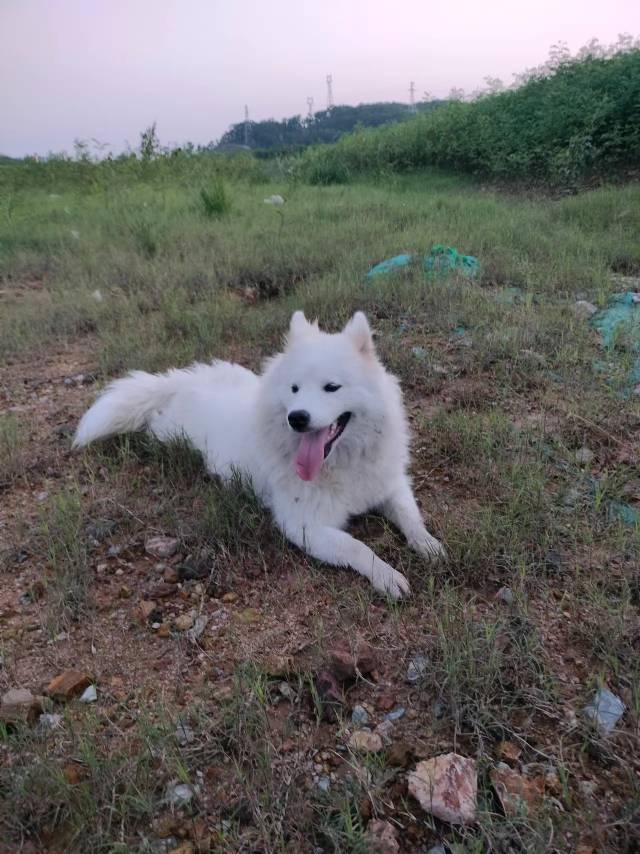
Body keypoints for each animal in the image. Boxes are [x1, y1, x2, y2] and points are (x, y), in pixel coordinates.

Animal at [75, 310, 444, 600]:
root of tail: (184, 381)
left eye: (332, 387)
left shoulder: (390, 485)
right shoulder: (305, 526)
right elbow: (358, 547)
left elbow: (410, 516)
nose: (297, 418)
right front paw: (386, 575)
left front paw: (427, 543)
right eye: (294, 389)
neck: (342, 463)